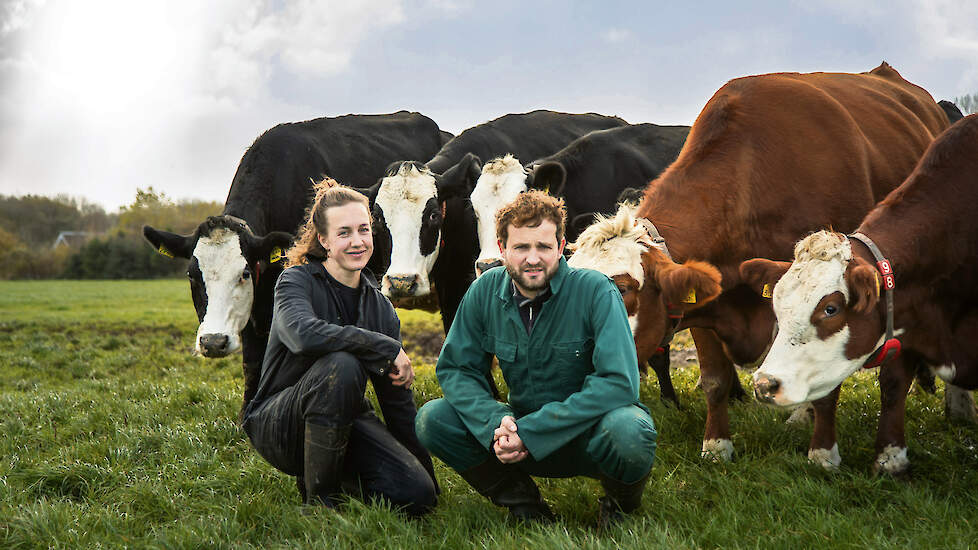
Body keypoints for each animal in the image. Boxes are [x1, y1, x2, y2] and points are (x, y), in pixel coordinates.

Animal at [568, 64, 948, 470]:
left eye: (623, 288)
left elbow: (828, 387)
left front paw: (822, 455)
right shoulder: (705, 302)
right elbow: (715, 380)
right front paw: (716, 447)